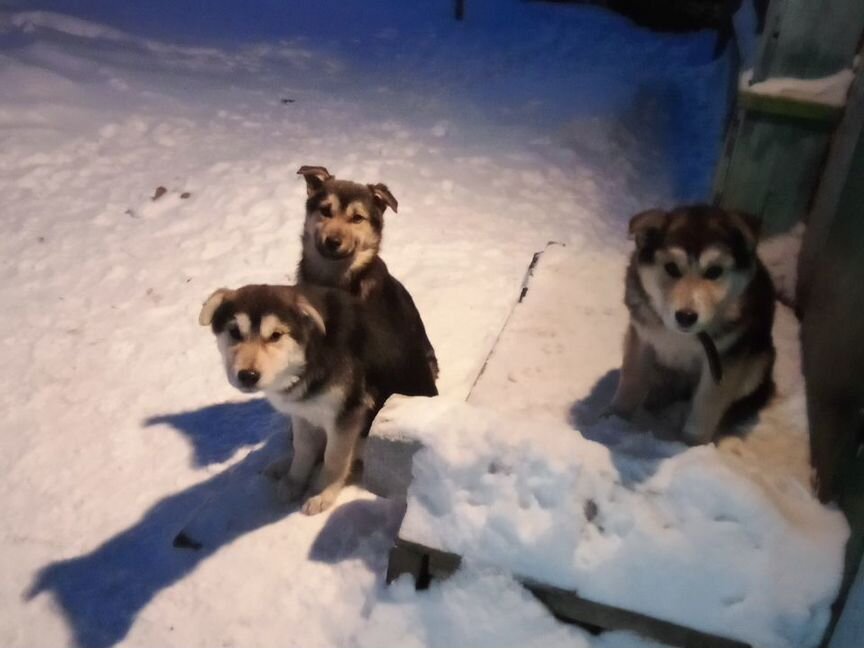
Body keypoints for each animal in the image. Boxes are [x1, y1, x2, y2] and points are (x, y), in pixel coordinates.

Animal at [201, 284, 404, 516]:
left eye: (276, 335)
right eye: (234, 332)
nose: (247, 376)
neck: (310, 355)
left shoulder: (348, 413)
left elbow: (335, 458)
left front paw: (323, 493)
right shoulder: (301, 412)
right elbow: (303, 448)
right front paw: (294, 480)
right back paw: (282, 466)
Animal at [608, 205, 776, 442]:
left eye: (714, 271)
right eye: (671, 268)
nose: (686, 316)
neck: (681, 335)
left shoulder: (725, 358)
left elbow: (707, 403)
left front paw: (692, 444)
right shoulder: (642, 337)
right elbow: (632, 378)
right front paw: (613, 420)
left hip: (758, 362)